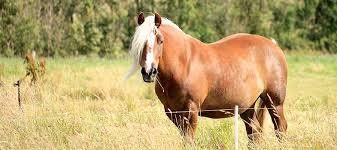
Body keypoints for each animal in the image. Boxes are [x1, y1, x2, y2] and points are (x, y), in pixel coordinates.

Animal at [126, 12, 286, 142]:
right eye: (141, 42)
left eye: (160, 40)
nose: (149, 72)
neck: (184, 64)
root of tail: (273, 45)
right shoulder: (173, 112)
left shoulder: (191, 111)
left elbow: (189, 140)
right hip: (247, 106)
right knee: (254, 133)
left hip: (275, 103)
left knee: (280, 129)